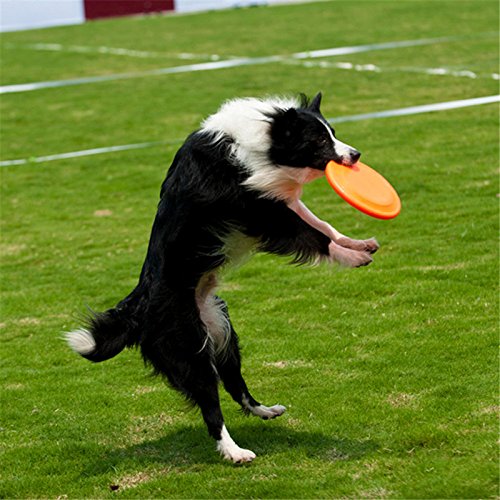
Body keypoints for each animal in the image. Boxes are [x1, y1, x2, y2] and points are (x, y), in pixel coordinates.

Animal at [66, 93, 378, 464]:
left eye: (333, 133)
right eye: (318, 140)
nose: (356, 155)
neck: (261, 136)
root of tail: (138, 308)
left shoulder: (274, 198)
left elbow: (322, 224)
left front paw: (358, 243)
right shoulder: (259, 210)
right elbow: (314, 236)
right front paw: (354, 256)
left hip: (221, 328)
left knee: (234, 384)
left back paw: (264, 410)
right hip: (189, 346)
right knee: (210, 407)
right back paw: (235, 452)